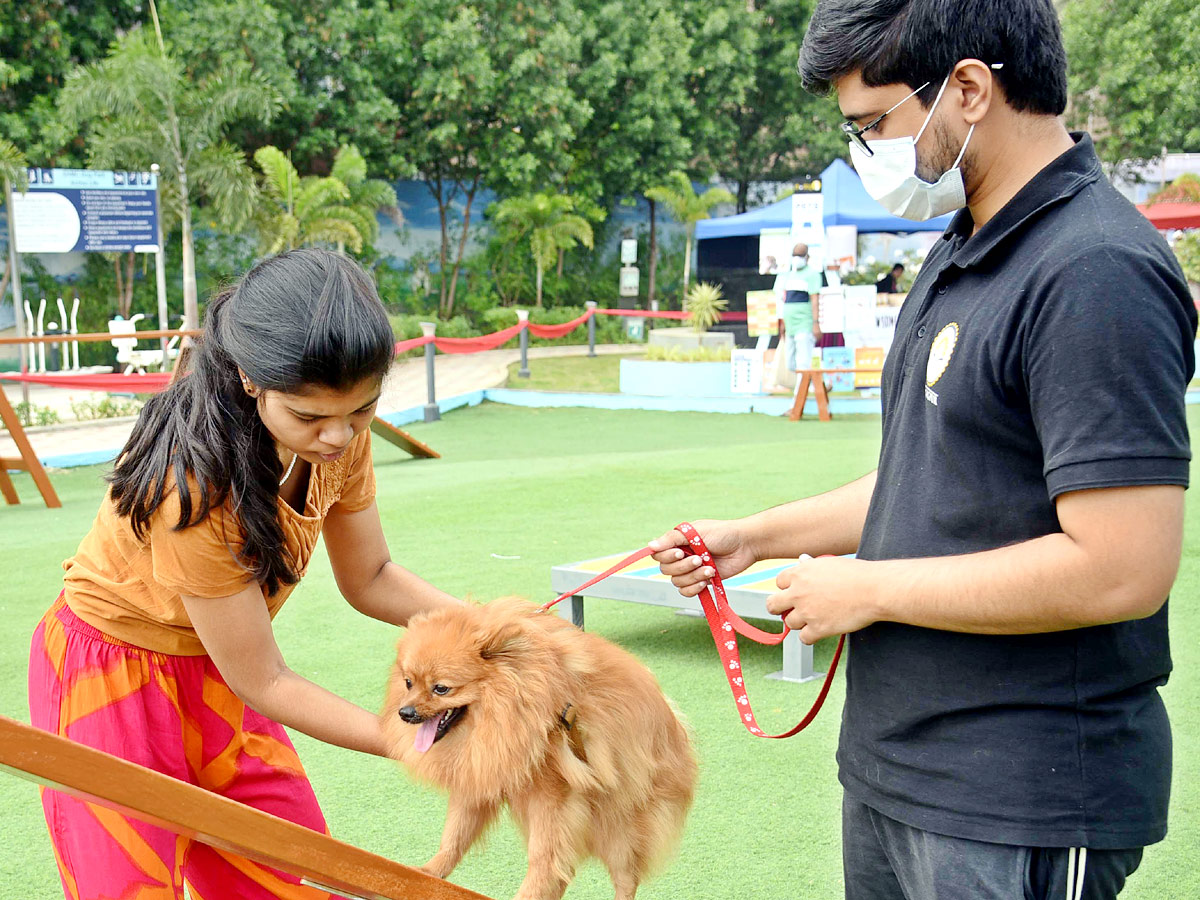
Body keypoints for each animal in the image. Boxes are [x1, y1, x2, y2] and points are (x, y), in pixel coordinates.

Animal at [384, 600, 700, 900]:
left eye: (441, 689)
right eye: (408, 682)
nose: (405, 713)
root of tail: (677, 727)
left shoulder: (552, 795)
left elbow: (543, 857)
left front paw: (529, 891)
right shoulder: (479, 771)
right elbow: (454, 835)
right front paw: (430, 871)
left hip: (622, 822)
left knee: (624, 876)